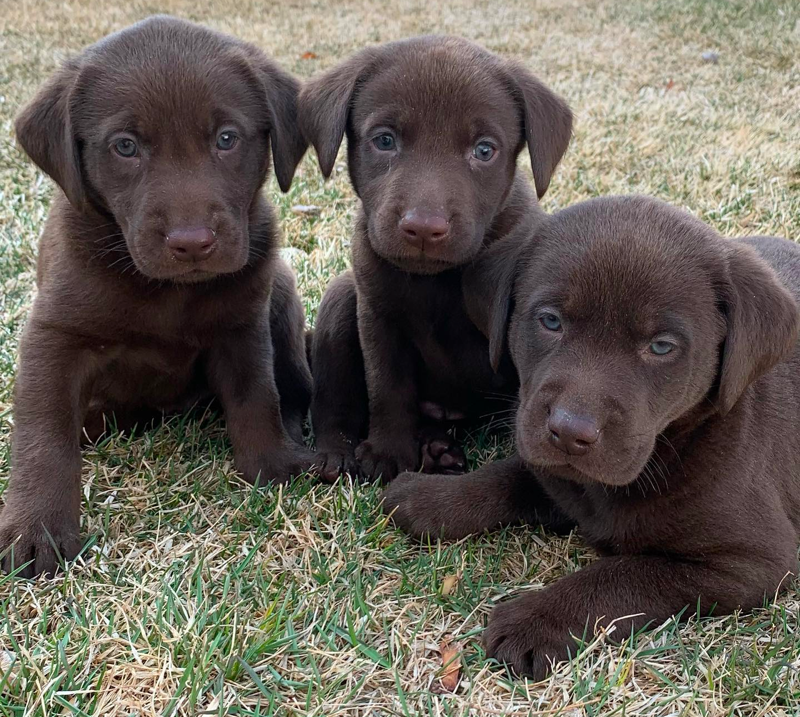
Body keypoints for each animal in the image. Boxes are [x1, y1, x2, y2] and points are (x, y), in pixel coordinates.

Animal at [3, 15, 316, 576]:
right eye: (125, 146)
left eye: (227, 138)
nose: (192, 242)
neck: (168, 291)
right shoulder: (54, 334)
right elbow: (43, 434)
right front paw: (36, 528)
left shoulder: (242, 325)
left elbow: (257, 393)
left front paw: (272, 464)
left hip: (279, 287)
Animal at [300, 35, 576, 482]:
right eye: (384, 140)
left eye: (484, 150)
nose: (425, 228)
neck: (436, 281)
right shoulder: (378, 318)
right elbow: (387, 388)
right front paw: (388, 452)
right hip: (342, 300)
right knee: (332, 401)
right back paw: (340, 453)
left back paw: (437, 448)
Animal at [382, 196, 800, 676]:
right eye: (550, 321)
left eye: (661, 346)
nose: (569, 432)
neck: (670, 449)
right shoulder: (555, 468)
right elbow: (511, 476)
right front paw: (431, 496)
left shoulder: (752, 563)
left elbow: (627, 574)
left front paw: (536, 620)